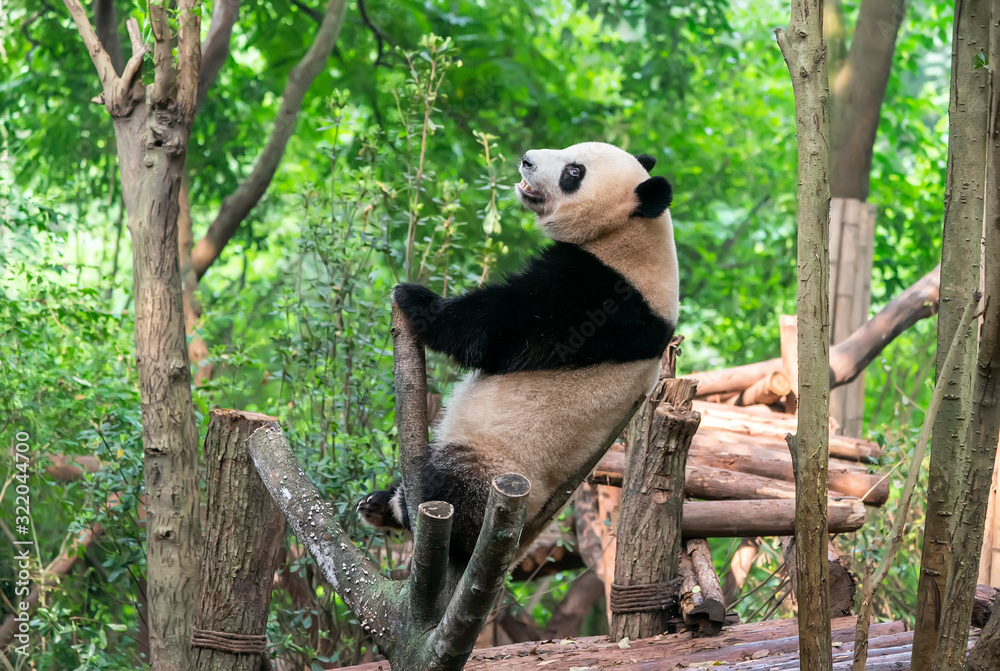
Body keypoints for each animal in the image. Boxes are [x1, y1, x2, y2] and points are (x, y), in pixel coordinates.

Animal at [357, 141, 679, 561]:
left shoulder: (600, 296)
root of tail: (523, 538)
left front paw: (416, 300)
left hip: (502, 465)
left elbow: (498, 328)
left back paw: (407, 510)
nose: (527, 159)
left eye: (574, 171)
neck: (629, 235)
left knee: (457, 487)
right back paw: (380, 502)